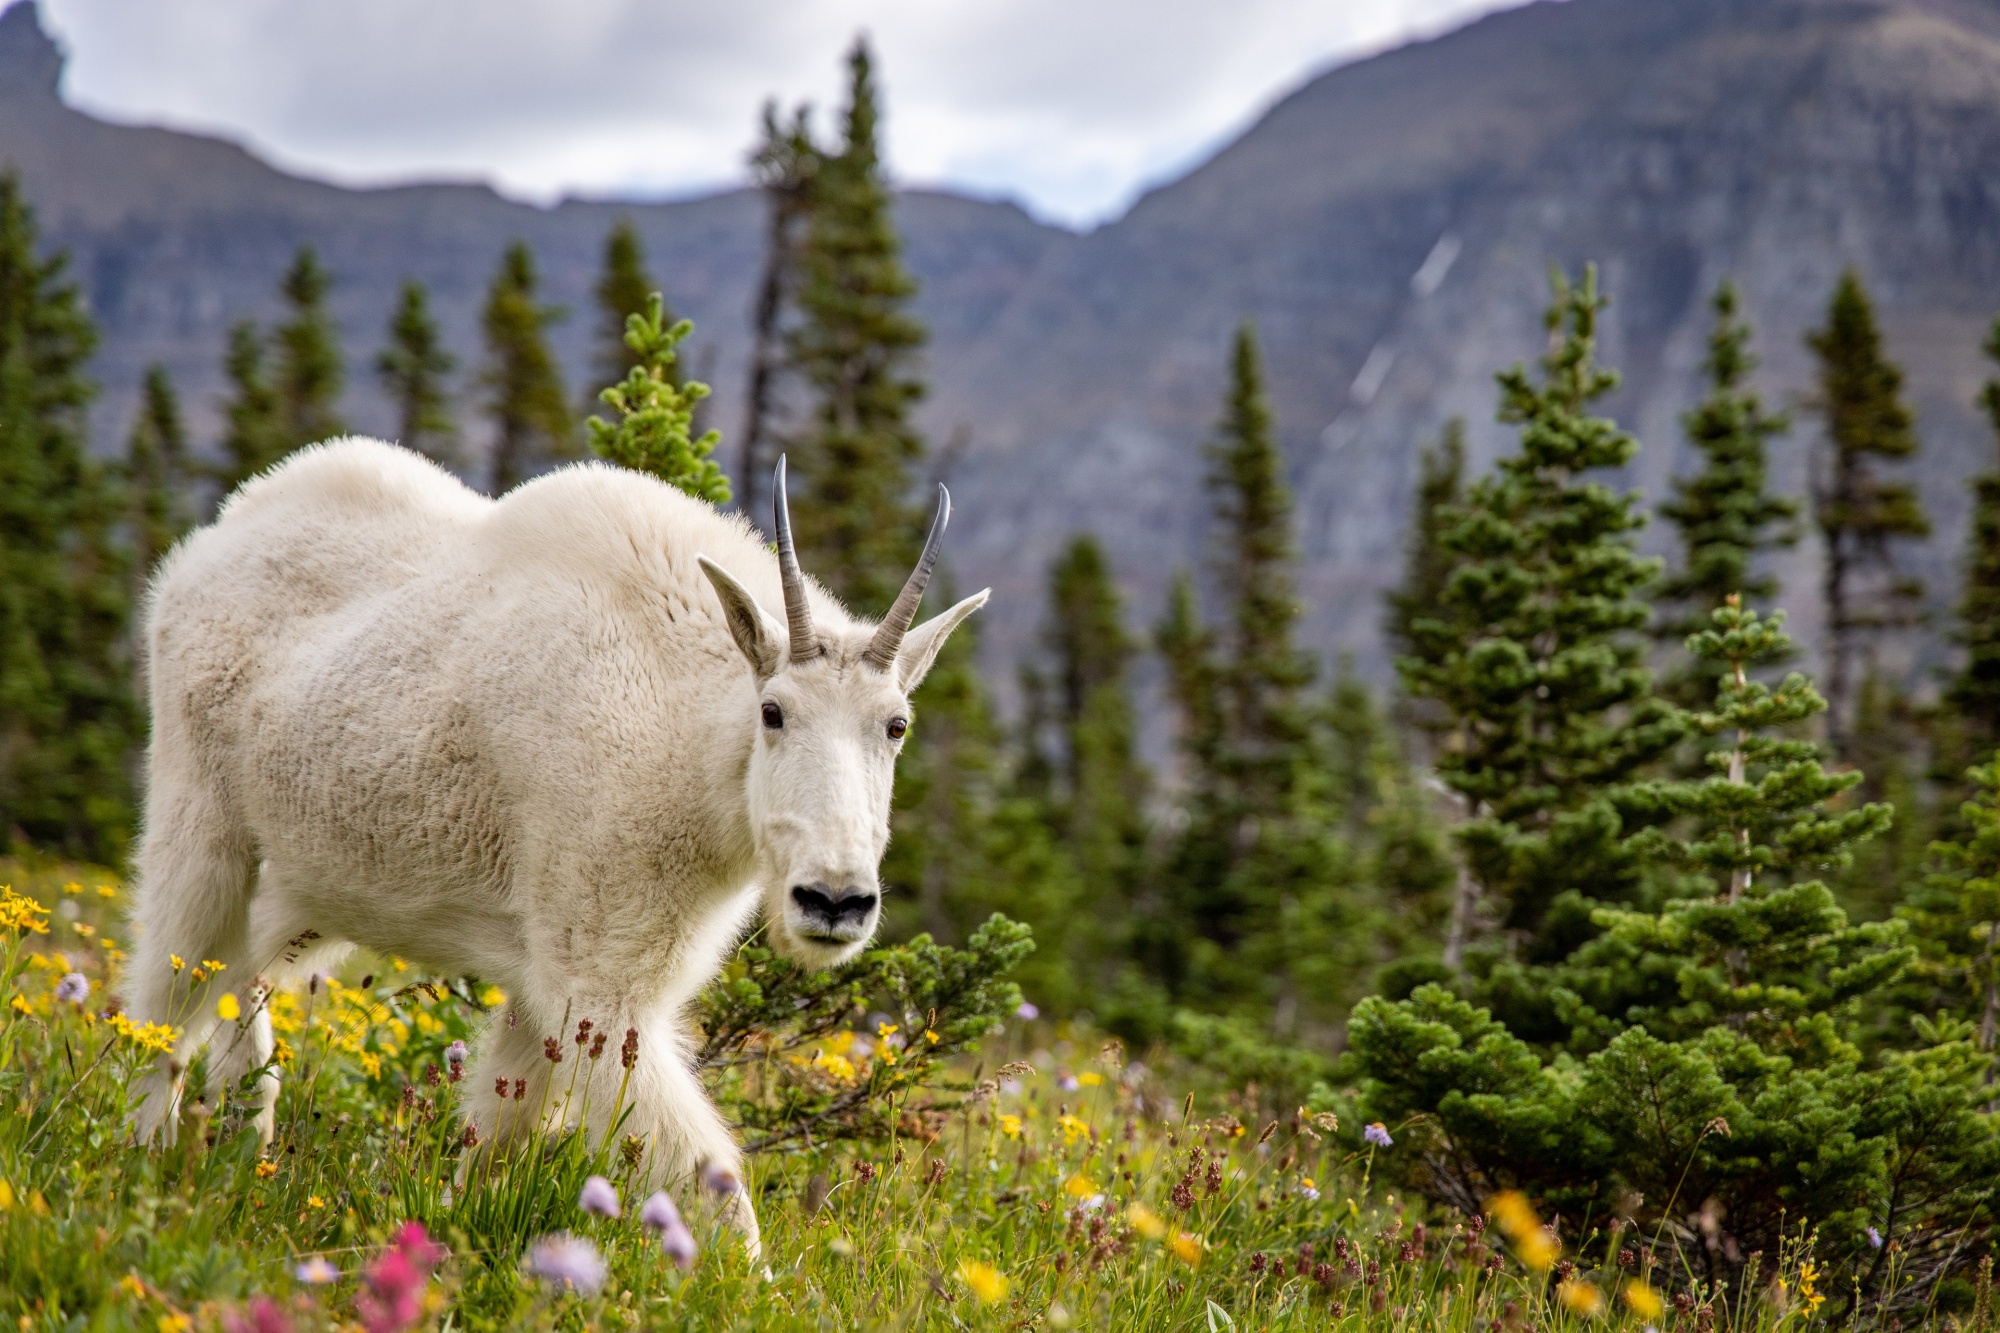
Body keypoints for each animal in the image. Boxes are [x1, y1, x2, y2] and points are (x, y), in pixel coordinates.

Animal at [123, 438, 984, 1248]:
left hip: (308, 881)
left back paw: (243, 1147)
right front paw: (755, 1286)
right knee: (166, 993)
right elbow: (710, 1176)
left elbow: (496, 1130)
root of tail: (207, 544)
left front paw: (454, 1233)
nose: (834, 900)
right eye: (773, 711)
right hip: (199, 817)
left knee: (242, 978)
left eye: (896, 724)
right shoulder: (599, 978)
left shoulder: (548, 981)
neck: (686, 731)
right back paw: (135, 1161)